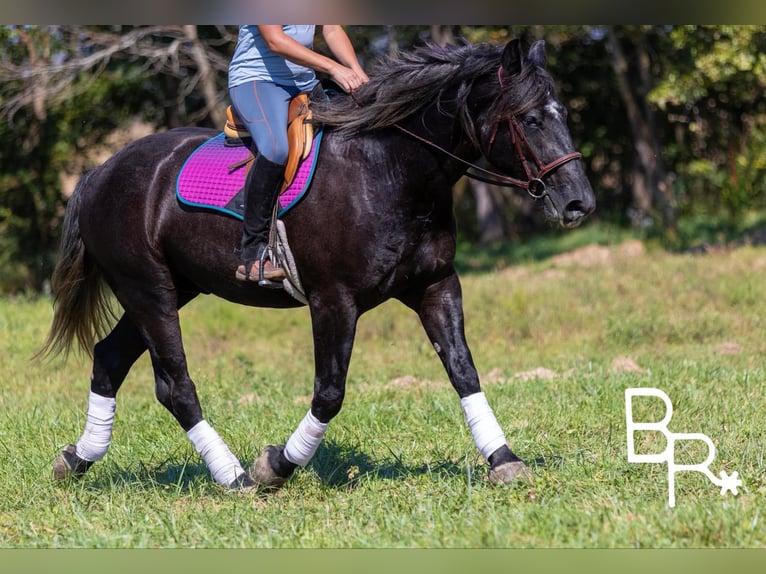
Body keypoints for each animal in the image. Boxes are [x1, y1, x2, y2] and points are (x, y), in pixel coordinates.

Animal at [40, 38, 595, 490]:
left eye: (564, 114)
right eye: (530, 119)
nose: (579, 204)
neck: (390, 169)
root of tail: (99, 172)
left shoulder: (436, 285)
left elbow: (463, 371)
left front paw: (503, 458)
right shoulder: (334, 300)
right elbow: (329, 392)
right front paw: (275, 466)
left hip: (171, 289)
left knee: (109, 358)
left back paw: (77, 460)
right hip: (149, 291)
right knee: (174, 385)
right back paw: (235, 477)